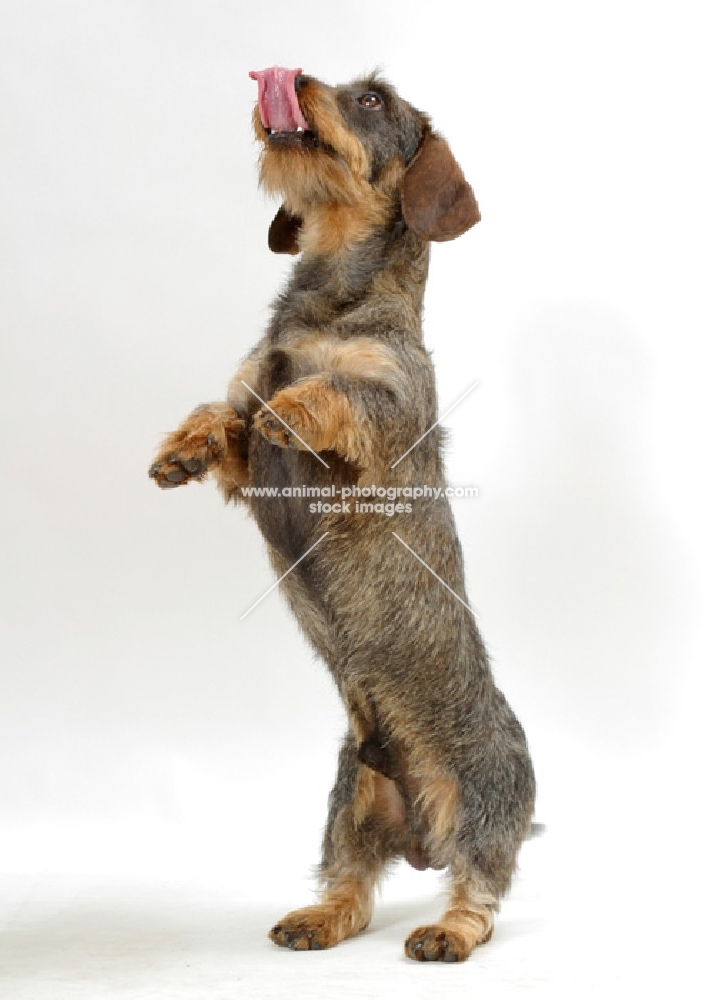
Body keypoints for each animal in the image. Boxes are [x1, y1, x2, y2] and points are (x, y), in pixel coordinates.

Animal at [147, 64, 532, 960]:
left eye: (372, 99)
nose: (295, 78)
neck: (331, 298)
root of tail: (423, 834)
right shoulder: (246, 432)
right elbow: (226, 415)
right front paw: (183, 448)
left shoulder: (381, 419)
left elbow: (337, 391)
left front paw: (297, 405)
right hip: (350, 799)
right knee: (352, 882)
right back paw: (317, 919)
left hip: (481, 802)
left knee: (481, 886)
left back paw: (446, 932)